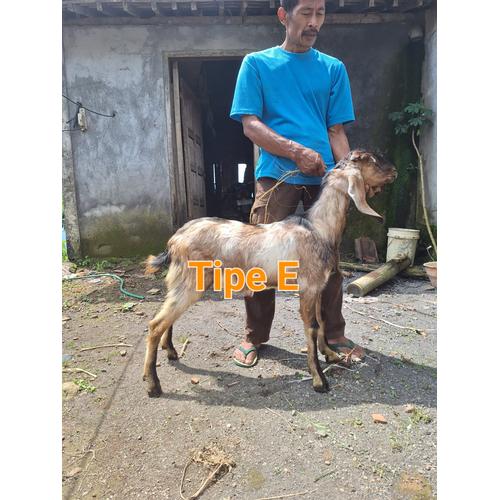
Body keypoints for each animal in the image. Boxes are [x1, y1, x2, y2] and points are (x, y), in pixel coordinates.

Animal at [143, 150, 397, 397]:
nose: (394, 171)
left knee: (167, 317)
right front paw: (319, 379)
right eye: (372, 160)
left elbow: (322, 320)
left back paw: (171, 352)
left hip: (182, 281)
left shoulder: (317, 286)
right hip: (191, 280)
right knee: (155, 324)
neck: (318, 228)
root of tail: (174, 240)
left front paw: (331, 355)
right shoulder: (308, 286)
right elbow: (312, 327)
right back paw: (153, 384)